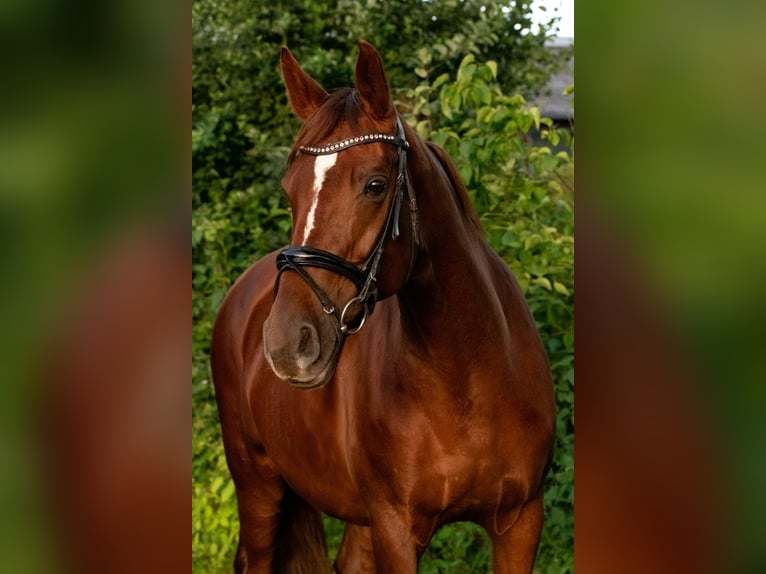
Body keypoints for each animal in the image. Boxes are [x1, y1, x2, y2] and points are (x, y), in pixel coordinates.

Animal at [212, 41, 560, 574]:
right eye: (289, 190)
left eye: (376, 185)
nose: (287, 344)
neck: (468, 380)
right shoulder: (397, 529)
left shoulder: (521, 522)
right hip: (258, 485)